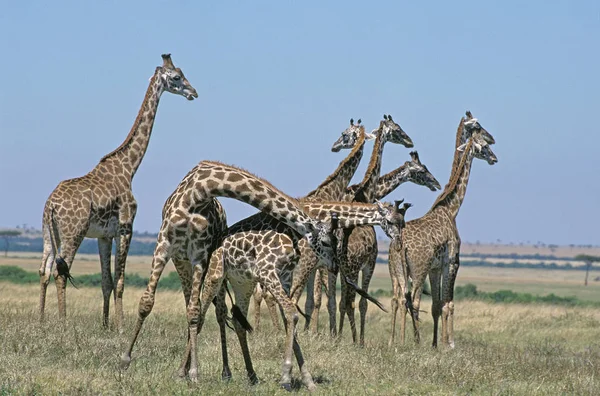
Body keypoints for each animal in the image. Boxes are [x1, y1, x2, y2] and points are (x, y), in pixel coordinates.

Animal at [37, 53, 197, 332]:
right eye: (177, 77)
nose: (193, 92)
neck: (129, 167)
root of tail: (50, 206)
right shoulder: (125, 226)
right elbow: (120, 281)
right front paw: (122, 326)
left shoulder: (104, 235)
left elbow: (106, 281)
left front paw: (105, 325)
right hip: (73, 232)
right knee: (60, 271)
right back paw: (63, 323)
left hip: (49, 233)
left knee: (44, 269)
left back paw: (41, 320)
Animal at [185, 200, 406, 392]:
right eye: (392, 221)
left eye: (403, 221)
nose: (398, 245)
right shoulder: (270, 271)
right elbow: (292, 314)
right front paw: (286, 377)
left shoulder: (285, 276)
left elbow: (290, 317)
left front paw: (307, 381)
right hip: (216, 276)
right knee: (199, 314)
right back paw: (190, 373)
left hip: (242, 282)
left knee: (238, 322)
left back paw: (251, 375)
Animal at [386, 113, 500, 348]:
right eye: (483, 144)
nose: (494, 156)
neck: (451, 208)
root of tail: (399, 245)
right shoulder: (452, 262)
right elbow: (449, 303)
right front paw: (450, 344)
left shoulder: (435, 267)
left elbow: (436, 305)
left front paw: (435, 344)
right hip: (417, 270)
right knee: (413, 300)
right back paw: (411, 342)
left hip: (396, 271)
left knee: (397, 299)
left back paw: (394, 341)